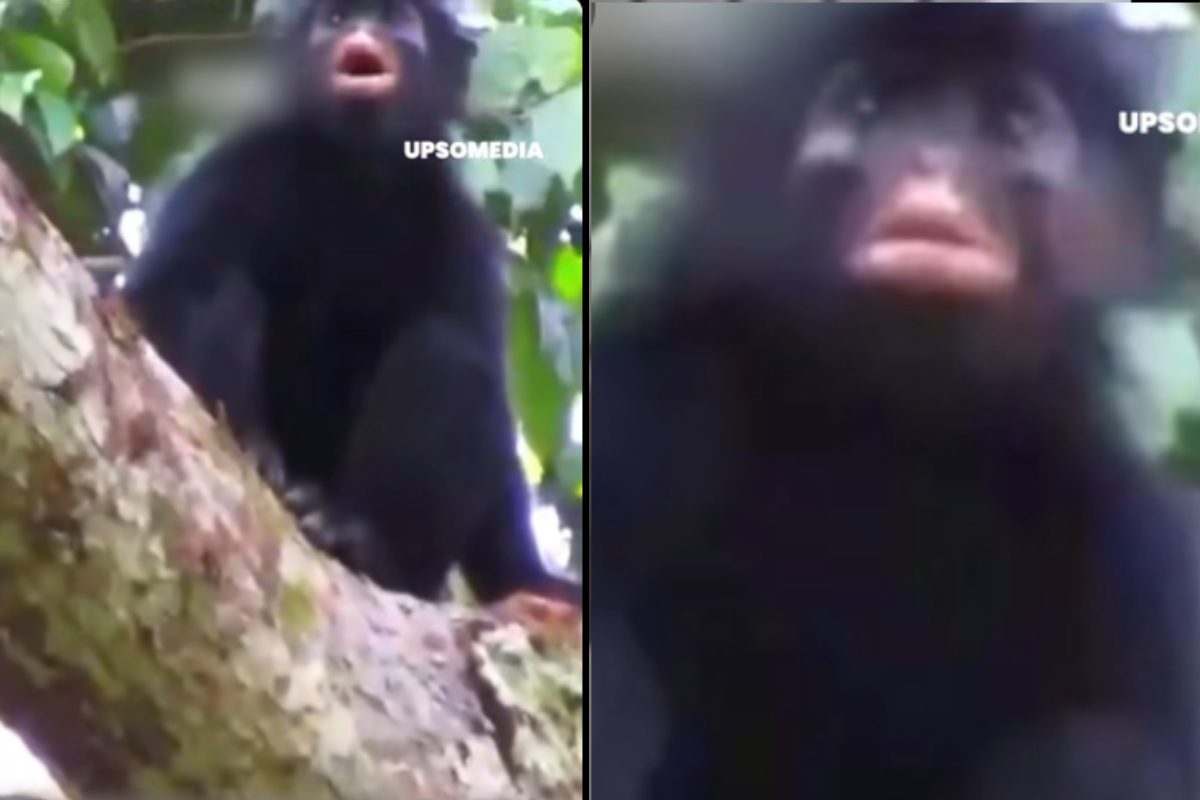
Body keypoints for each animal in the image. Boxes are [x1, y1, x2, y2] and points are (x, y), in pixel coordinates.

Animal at [121, 0, 579, 605]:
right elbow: (151, 297)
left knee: (448, 353)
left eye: (398, 22)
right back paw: (255, 449)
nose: (361, 34)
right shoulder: (239, 165)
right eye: (336, 20)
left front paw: (528, 578)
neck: (357, 175)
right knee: (218, 288)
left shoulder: (462, 233)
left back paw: (366, 544)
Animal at [593, 5, 1200, 799]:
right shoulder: (647, 392)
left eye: (1011, 121)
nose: (931, 161)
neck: (890, 431)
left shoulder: (1144, 539)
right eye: (869, 110)